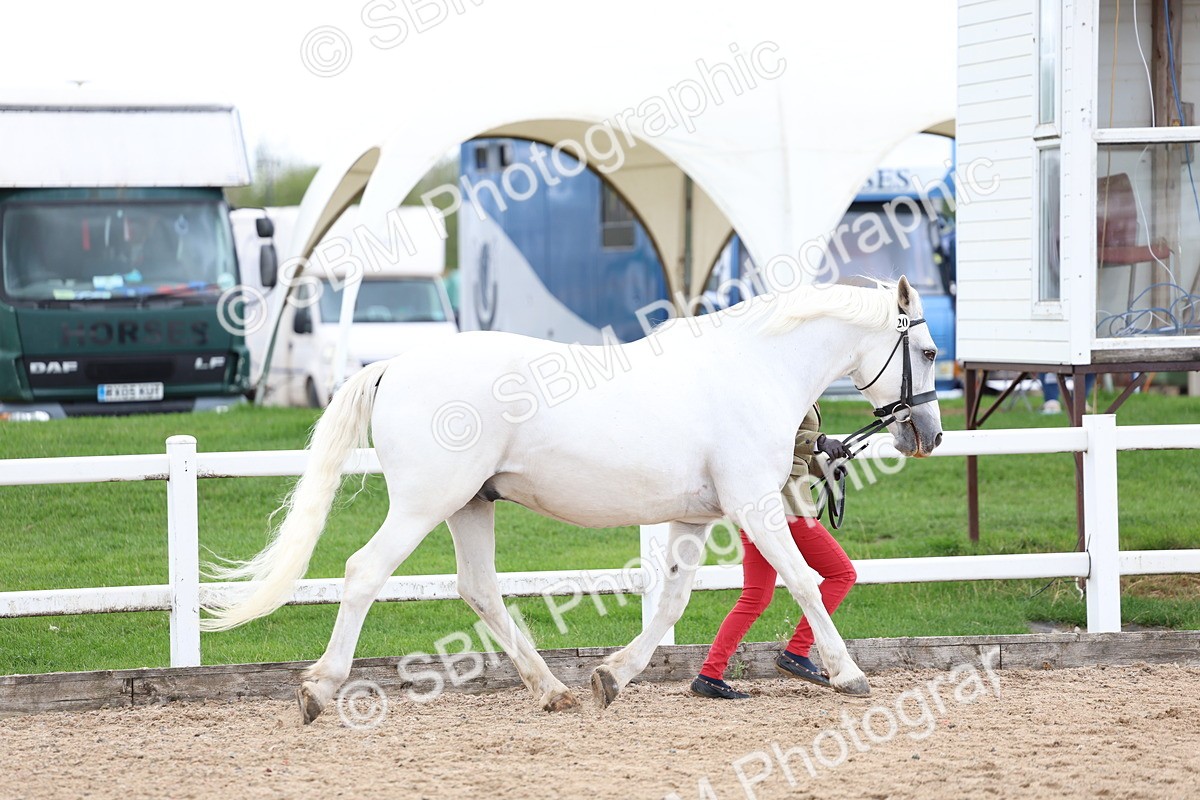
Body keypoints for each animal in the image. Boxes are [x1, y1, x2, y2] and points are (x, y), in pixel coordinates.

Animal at [201, 276, 944, 724]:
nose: (928, 434)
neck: (755, 367)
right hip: (424, 503)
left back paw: (552, 690)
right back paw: (319, 688)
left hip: (472, 505)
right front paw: (847, 674)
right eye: (933, 350)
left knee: (479, 589)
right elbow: (804, 582)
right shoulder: (756, 505)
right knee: (363, 573)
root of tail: (393, 366)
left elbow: (671, 602)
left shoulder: (693, 518)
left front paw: (612, 677)